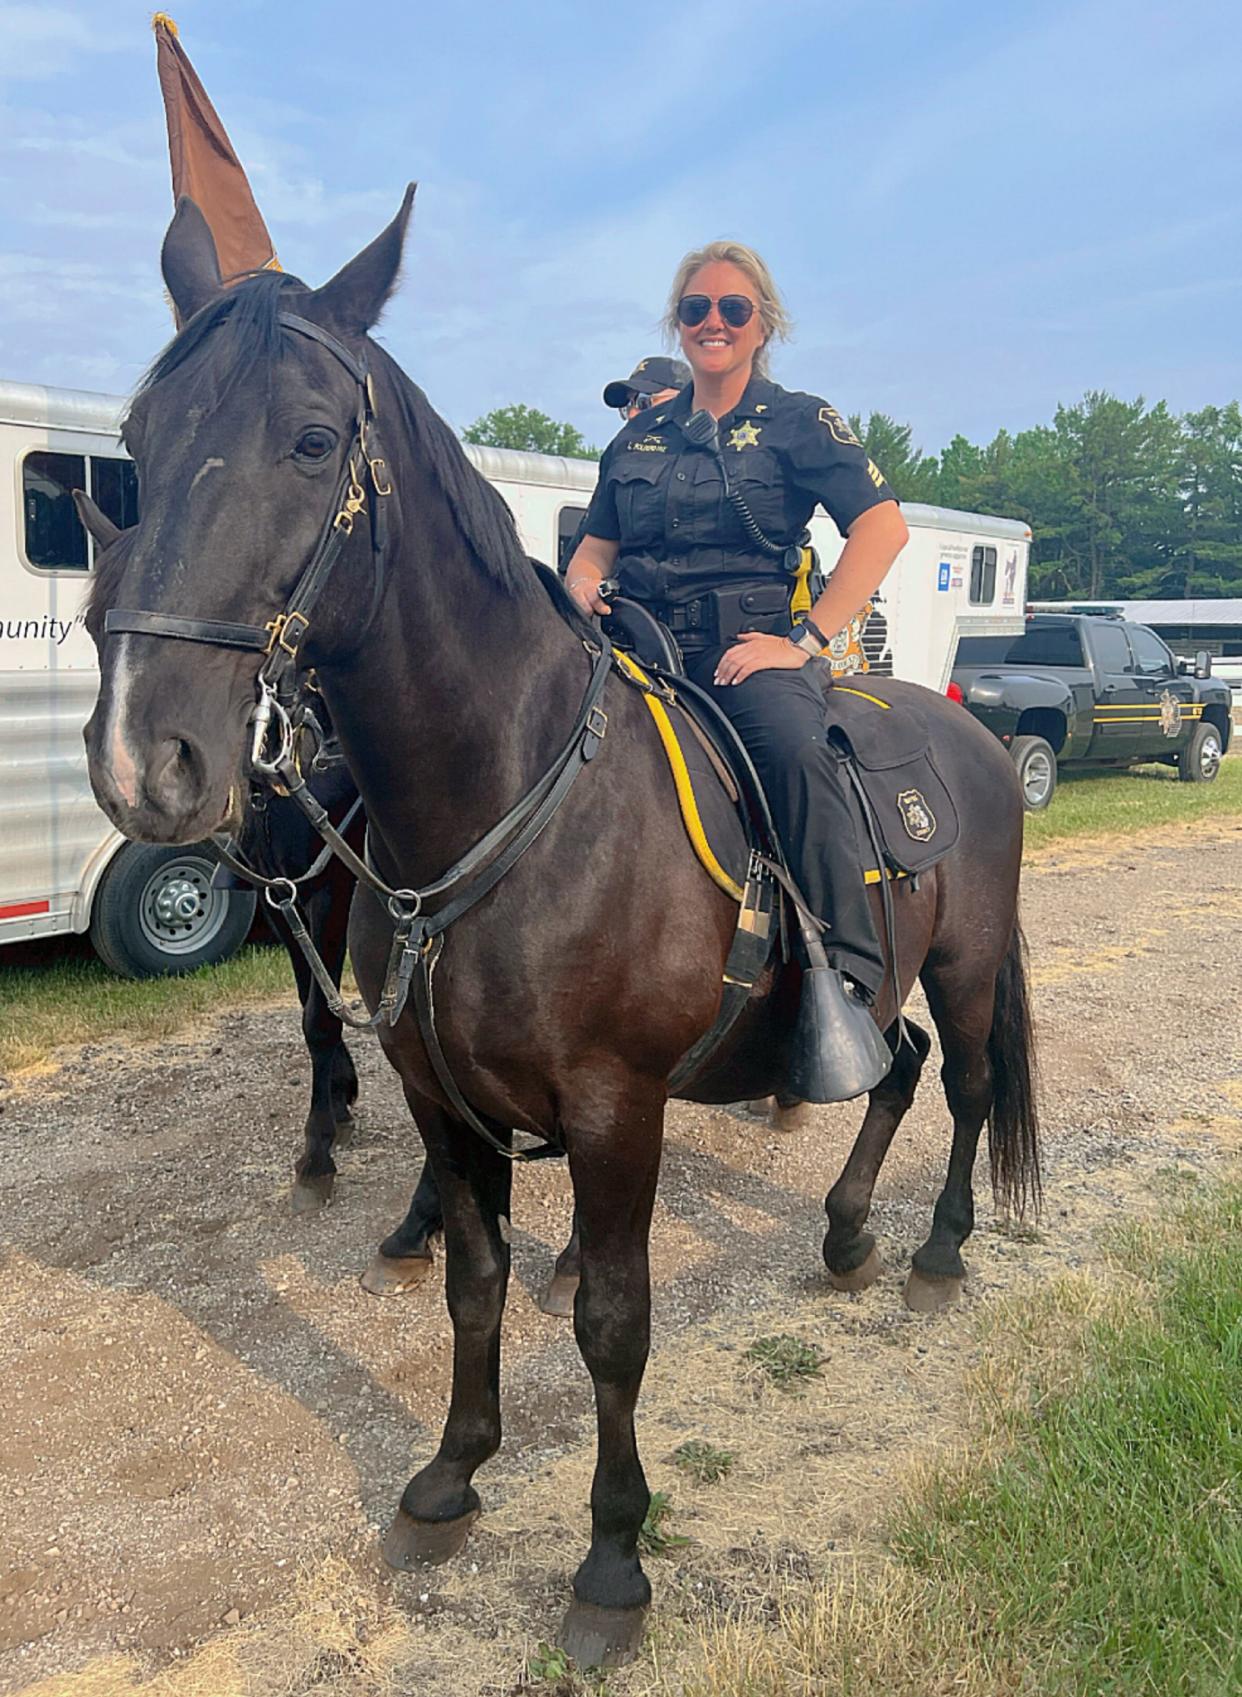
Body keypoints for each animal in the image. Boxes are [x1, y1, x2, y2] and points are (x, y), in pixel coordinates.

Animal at [84, 192, 1038, 1663]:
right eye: (136, 445)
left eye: (311, 440)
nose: (149, 757)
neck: (502, 794)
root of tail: (971, 734)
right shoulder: (441, 1097)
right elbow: (475, 1280)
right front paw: (451, 1472)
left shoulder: (612, 1103)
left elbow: (610, 1321)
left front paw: (610, 1559)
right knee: (908, 1067)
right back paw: (844, 1231)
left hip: (969, 959)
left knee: (975, 1081)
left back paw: (937, 1247)